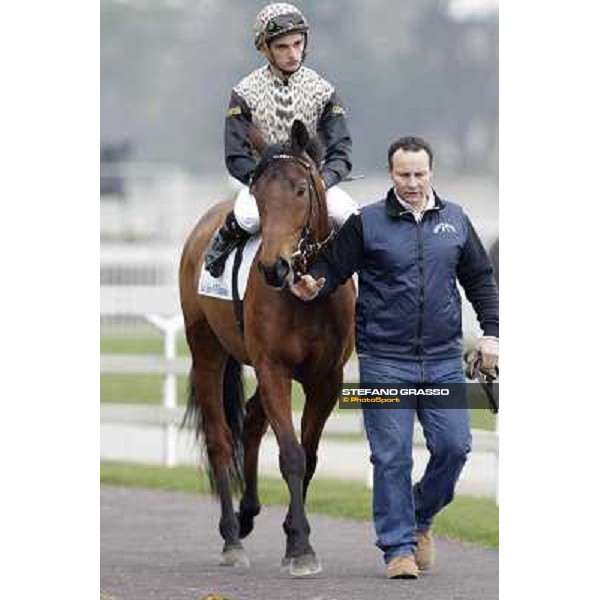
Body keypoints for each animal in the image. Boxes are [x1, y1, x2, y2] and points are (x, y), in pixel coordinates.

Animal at [178, 119, 356, 576]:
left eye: (301, 189)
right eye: (258, 194)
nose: (274, 267)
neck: (307, 297)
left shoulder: (326, 379)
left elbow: (309, 457)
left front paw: (295, 534)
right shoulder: (274, 366)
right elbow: (291, 454)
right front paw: (301, 546)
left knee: (252, 420)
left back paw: (248, 513)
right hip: (206, 350)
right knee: (220, 439)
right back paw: (231, 537)